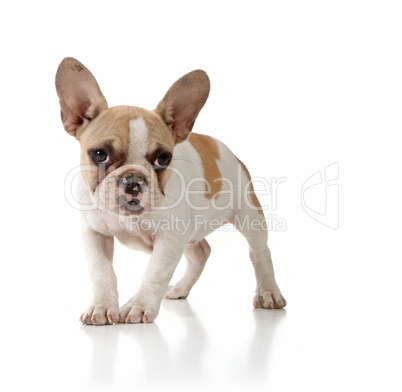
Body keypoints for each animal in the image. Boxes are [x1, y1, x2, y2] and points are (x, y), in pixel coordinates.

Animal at [55, 56, 286, 324]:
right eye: (100, 154)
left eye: (163, 159)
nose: (133, 179)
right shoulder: (95, 234)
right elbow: (101, 271)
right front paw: (101, 307)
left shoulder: (170, 238)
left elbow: (155, 272)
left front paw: (139, 305)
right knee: (201, 253)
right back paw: (180, 289)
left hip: (249, 216)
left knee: (260, 253)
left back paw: (268, 292)